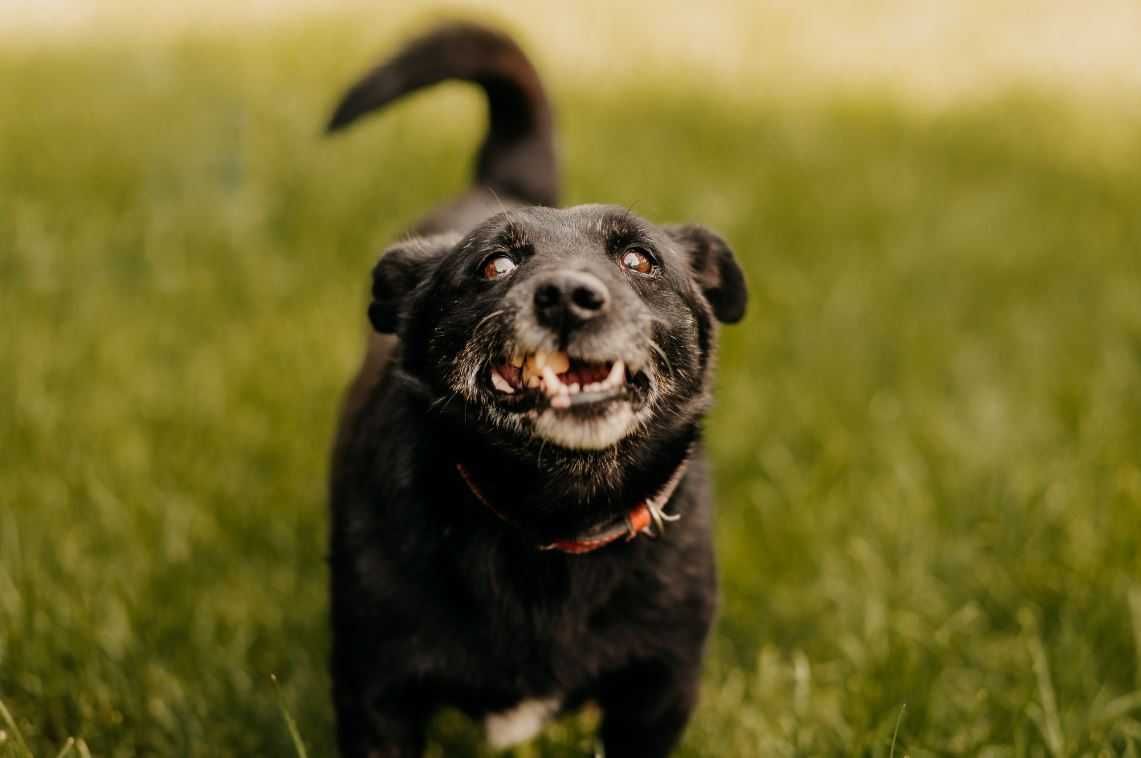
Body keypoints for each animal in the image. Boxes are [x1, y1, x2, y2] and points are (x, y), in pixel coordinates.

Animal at [326, 23, 743, 758]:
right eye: (494, 265)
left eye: (638, 259)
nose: (570, 296)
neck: (554, 517)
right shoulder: (377, 694)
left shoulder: (656, 692)